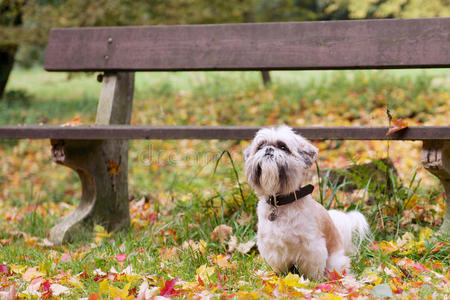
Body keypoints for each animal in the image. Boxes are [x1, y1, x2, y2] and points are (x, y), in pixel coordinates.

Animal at [243, 126, 370, 278]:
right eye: (260, 146)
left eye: (283, 147)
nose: (268, 149)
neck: (281, 202)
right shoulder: (273, 247)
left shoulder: (312, 247)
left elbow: (312, 269)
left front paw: (311, 280)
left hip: (335, 261)